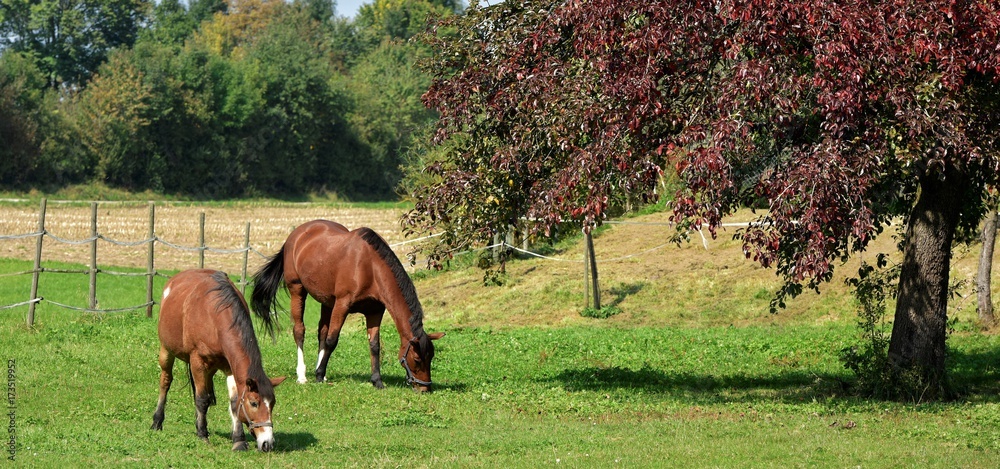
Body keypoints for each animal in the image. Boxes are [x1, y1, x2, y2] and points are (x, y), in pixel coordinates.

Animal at [151, 269, 286, 452]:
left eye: (272, 404)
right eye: (253, 403)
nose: (267, 443)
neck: (214, 316)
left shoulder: (229, 367)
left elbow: (233, 402)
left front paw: (238, 440)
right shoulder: (197, 362)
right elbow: (202, 399)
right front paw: (203, 435)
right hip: (167, 351)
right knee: (166, 382)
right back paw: (157, 421)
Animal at [251, 220, 444, 391]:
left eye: (431, 357)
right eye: (417, 359)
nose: (424, 388)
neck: (370, 267)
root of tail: (296, 234)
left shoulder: (375, 311)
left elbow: (374, 345)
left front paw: (377, 381)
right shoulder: (342, 305)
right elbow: (332, 340)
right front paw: (319, 375)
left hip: (326, 301)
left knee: (321, 332)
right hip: (297, 290)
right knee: (300, 330)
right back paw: (303, 375)